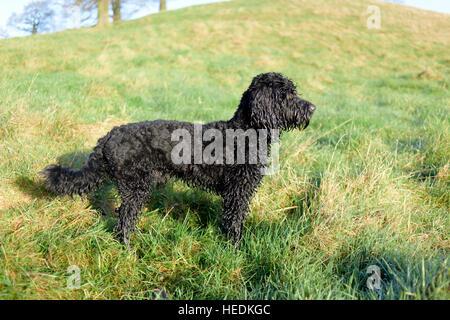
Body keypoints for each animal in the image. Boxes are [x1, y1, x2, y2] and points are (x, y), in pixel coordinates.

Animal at [42, 73, 316, 248]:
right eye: (286, 95)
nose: (313, 108)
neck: (244, 131)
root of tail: (110, 134)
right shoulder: (237, 190)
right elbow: (234, 221)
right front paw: (235, 249)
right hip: (136, 187)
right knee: (124, 222)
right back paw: (128, 250)